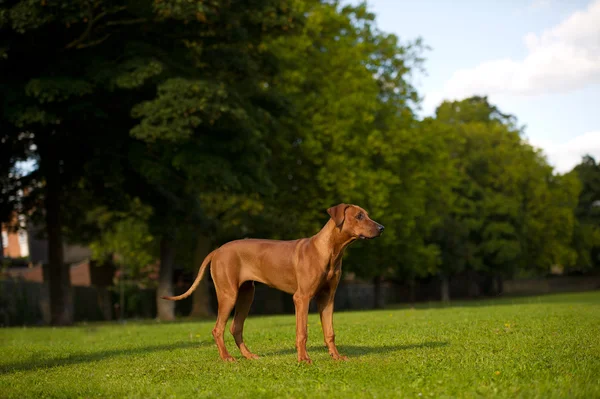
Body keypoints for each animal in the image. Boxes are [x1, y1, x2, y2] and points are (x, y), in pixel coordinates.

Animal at [161, 205, 384, 364]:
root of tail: (217, 250)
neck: (330, 251)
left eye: (366, 214)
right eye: (359, 216)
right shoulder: (301, 298)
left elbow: (330, 332)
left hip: (246, 295)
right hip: (228, 294)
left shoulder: (327, 298)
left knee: (235, 327)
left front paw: (336, 357)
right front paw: (303, 359)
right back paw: (227, 358)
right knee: (218, 329)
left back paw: (249, 356)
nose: (382, 228)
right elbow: (302, 331)